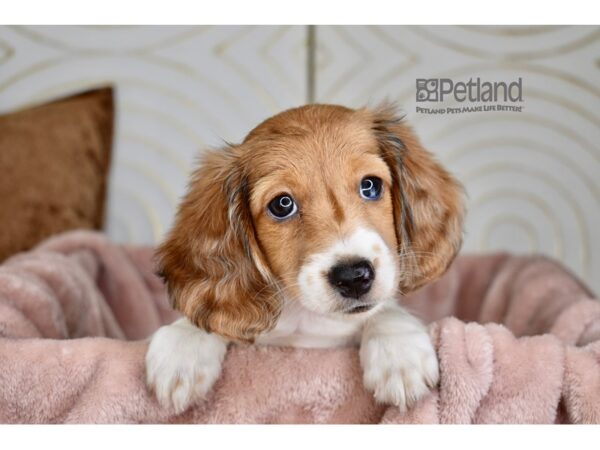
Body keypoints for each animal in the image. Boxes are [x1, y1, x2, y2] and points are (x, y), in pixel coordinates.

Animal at [144, 103, 464, 414]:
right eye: (282, 204)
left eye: (370, 185)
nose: (353, 277)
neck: (307, 319)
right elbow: (205, 319)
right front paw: (184, 348)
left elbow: (384, 311)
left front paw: (399, 355)